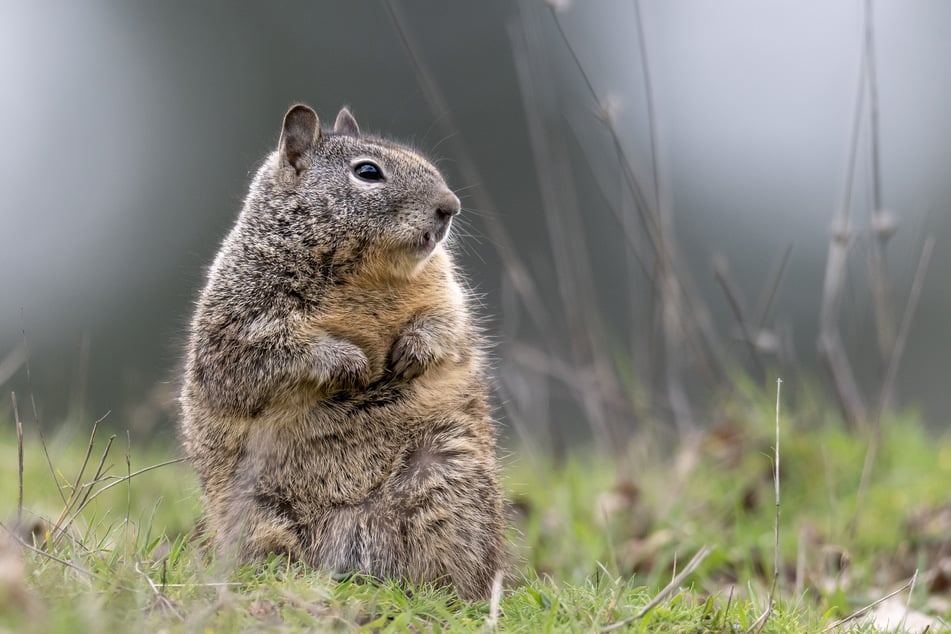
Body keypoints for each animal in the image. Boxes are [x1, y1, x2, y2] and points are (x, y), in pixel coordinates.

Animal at [179, 103, 506, 596]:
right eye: (368, 172)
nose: (450, 207)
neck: (368, 274)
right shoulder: (241, 320)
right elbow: (265, 358)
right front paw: (349, 363)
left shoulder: (445, 293)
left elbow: (446, 327)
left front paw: (411, 351)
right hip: (256, 508)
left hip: (446, 474)